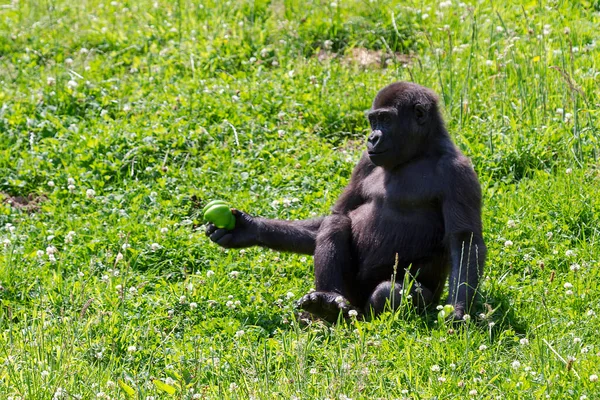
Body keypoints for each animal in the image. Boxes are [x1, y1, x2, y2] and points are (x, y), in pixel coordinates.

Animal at [206, 81, 488, 322]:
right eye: (374, 121)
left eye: (386, 120)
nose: (372, 138)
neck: (419, 153)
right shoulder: (365, 161)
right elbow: (337, 213)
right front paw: (246, 229)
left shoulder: (458, 172)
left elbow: (464, 240)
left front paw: (459, 310)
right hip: (350, 297)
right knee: (336, 223)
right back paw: (327, 301)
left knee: (388, 292)